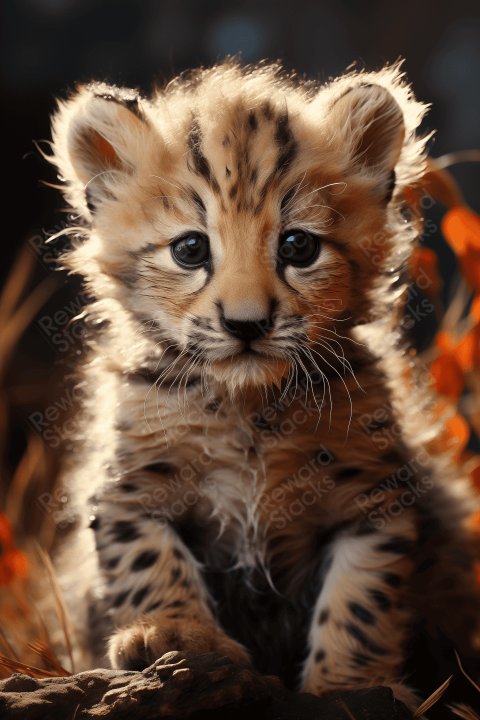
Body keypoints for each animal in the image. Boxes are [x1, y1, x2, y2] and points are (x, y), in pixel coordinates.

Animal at [47, 59, 480, 710]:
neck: (249, 409)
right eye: (190, 248)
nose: (247, 323)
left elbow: (360, 602)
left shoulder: (375, 498)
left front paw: (347, 688)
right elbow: (148, 563)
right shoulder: (129, 489)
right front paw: (172, 633)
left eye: (298, 245)